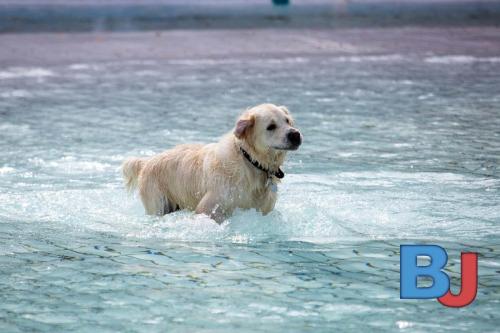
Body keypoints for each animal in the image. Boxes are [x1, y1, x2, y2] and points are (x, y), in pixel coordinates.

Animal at [122, 102, 300, 222]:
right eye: (271, 126)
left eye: (287, 121)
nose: (295, 135)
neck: (250, 161)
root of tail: (146, 162)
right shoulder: (210, 206)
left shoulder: (263, 209)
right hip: (157, 203)